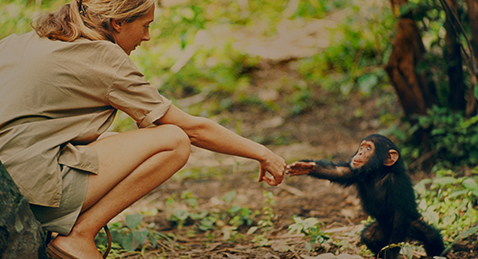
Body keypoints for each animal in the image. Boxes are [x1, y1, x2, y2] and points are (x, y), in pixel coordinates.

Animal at [286, 134, 446, 259]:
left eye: (369, 149)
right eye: (362, 147)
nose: (360, 153)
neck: (378, 173)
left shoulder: (398, 185)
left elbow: (400, 213)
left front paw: (391, 253)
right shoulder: (355, 172)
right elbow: (338, 172)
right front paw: (305, 167)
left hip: (408, 227)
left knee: (431, 237)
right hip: (381, 229)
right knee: (369, 237)